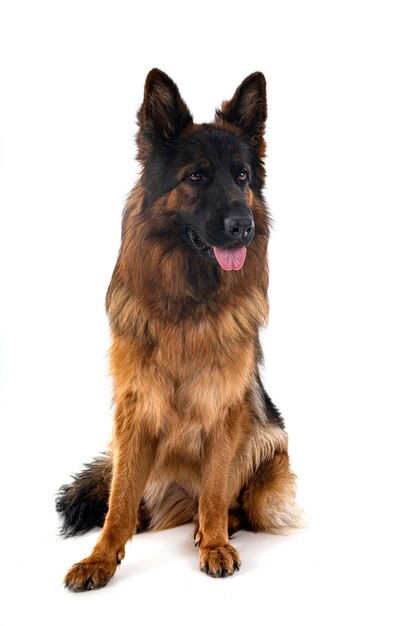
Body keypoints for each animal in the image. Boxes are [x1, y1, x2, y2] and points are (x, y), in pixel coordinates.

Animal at [57, 68, 300, 588]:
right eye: (196, 176)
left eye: (242, 177)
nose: (243, 226)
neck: (189, 304)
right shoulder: (134, 412)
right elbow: (119, 502)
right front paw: (100, 558)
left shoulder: (226, 411)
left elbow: (215, 489)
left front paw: (214, 543)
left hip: (269, 453)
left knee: (238, 504)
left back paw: (213, 528)